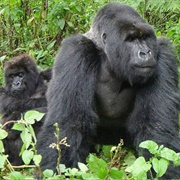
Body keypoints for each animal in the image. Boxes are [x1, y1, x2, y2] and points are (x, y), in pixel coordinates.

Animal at [36, 2, 180, 178]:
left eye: (145, 38)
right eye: (130, 39)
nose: (146, 52)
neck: (108, 58)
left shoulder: (163, 54)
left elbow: (157, 128)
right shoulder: (75, 51)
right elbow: (69, 123)